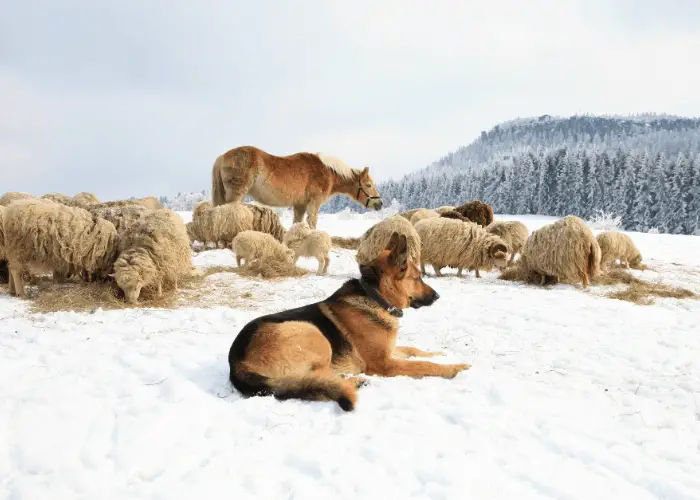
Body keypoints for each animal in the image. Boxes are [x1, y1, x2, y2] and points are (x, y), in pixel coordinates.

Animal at [212, 146, 382, 229]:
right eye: (368, 184)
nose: (379, 203)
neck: (326, 170)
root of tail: (223, 156)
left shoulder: (300, 205)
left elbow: (297, 223)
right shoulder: (314, 203)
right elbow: (312, 222)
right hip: (236, 195)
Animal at [230, 230, 470, 410]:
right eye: (418, 277)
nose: (438, 296)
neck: (376, 296)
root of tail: (237, 362)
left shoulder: (390, 351)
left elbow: (414, 350)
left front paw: (439, 353)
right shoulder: (384, 364)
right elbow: (424, 365)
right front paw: (455, 368)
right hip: (312, 332)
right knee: (313, 379)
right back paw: (353, 381)